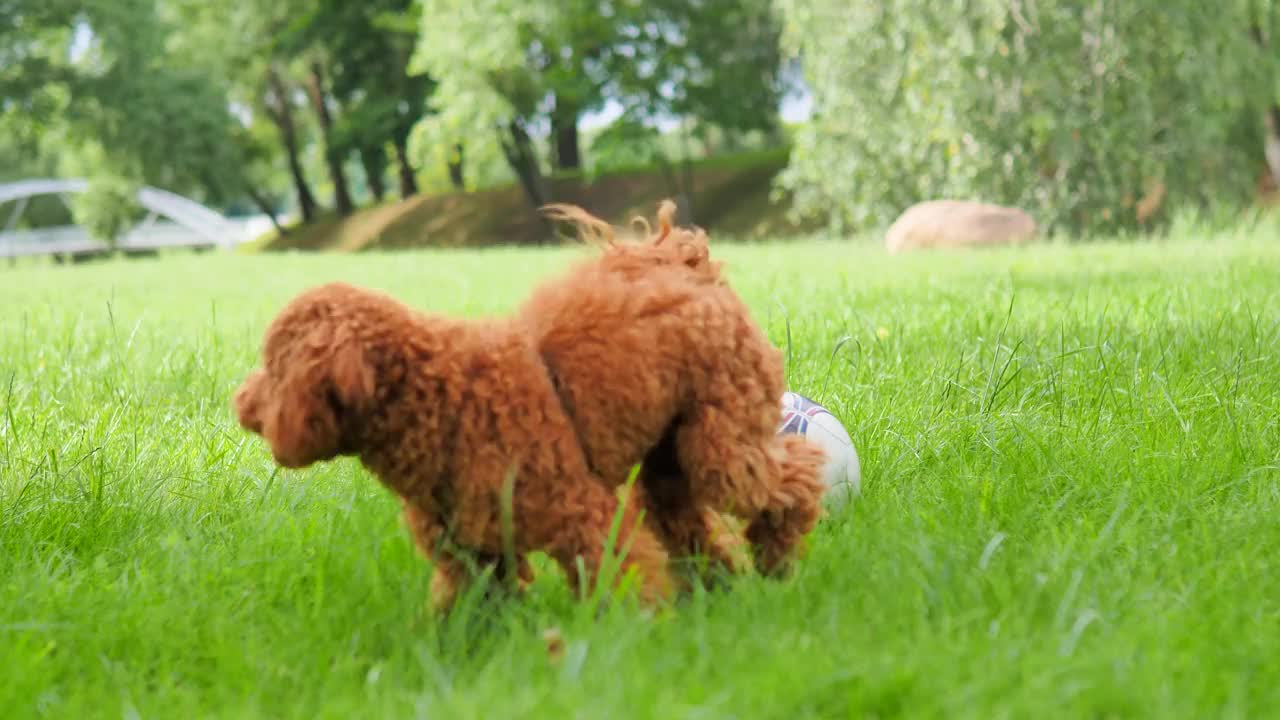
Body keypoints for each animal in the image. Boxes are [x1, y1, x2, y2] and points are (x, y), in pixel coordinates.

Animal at [240, 280, 680, 609]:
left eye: (273, 368)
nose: (239, 400)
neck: (435, 397)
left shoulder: (585, 515)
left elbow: (625, 578)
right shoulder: (469, 550)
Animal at [522, 199, 829, 576]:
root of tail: (685, 268)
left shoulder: (575, 506)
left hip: (722, 432)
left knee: (789, 473)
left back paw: (775, 562)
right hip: (670, 451)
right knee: (680, 515)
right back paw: (719, 577)